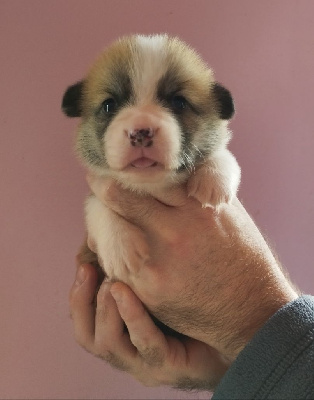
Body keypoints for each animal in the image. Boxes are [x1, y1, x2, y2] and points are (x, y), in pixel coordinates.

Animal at [62, 32, 242, 286]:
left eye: (179, 102)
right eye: (109, 105)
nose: (140, 132)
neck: (149, 185)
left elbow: (225, 154)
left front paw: (214, 177)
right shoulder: (99, 188)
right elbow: (95, 205)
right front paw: (119, 247)